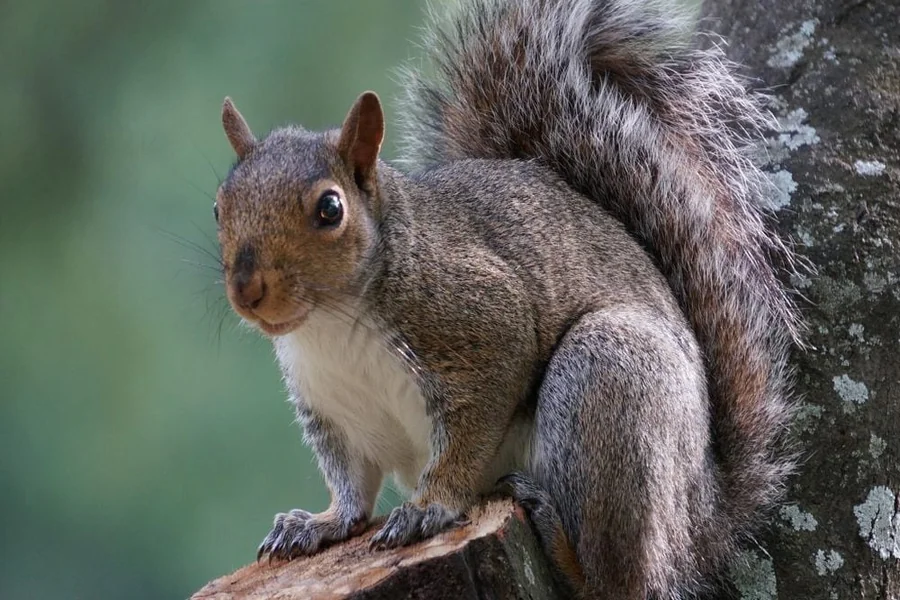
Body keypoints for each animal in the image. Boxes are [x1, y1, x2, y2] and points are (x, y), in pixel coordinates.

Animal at [212, 0, 801, 597]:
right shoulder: (334, 409)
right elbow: (351, 484)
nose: (247, 290)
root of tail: (706, 518)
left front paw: (428, 508)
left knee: (620, 579)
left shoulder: (486, 326)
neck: (332, 326)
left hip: (608, 375)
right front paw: (321, 523)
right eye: (219, 207)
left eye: (330, 209)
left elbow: (469, 435)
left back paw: (562, 543)